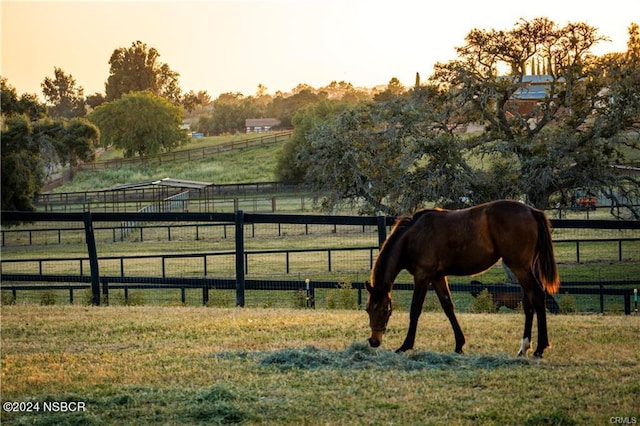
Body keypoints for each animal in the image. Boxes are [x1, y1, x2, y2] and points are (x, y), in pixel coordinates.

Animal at [364, 200, 560, 356]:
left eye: (385, 311)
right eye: (367, 309)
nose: (374, 341)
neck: (413, 236)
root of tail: (531, 211)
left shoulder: (422, 276)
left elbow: (415, 310)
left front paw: (405, 346)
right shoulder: (437, 277)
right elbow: (448, 307)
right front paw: (459, 344)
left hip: (520, 267)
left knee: (538, 297)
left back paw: (540, 348)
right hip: (525, 269)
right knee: (529, 304)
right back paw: (524, 347)